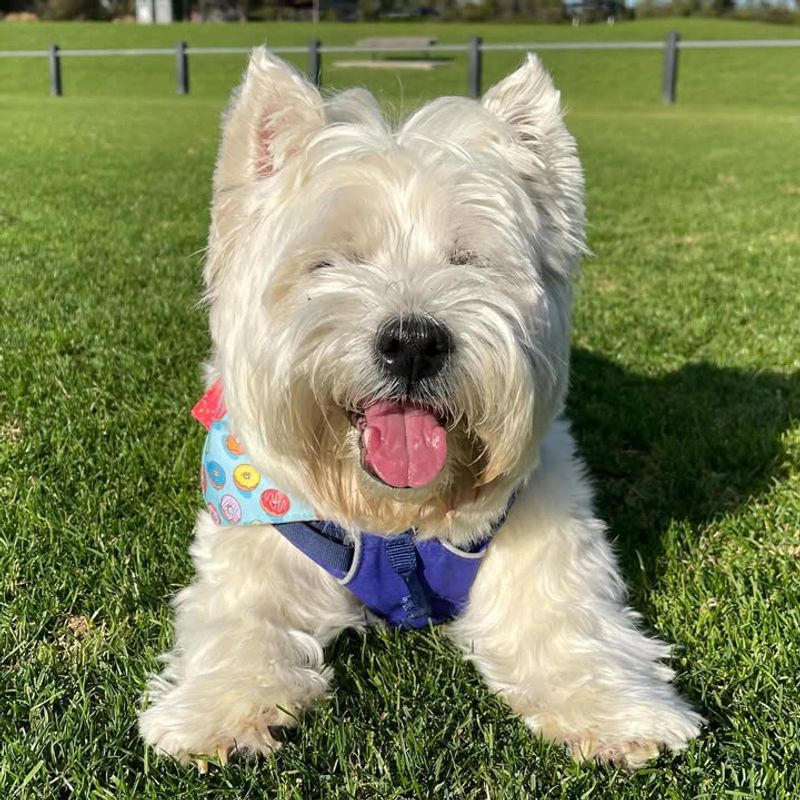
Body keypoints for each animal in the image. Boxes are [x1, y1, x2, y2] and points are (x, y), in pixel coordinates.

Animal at [141, 48, 704, 768]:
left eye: (470, 261)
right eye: (331, 262)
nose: (412, 343)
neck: (397, 522)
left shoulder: (546, 540)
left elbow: (568, 624)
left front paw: (622, 712)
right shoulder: (255, 549)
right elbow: (238, 623)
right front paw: (216, 713)